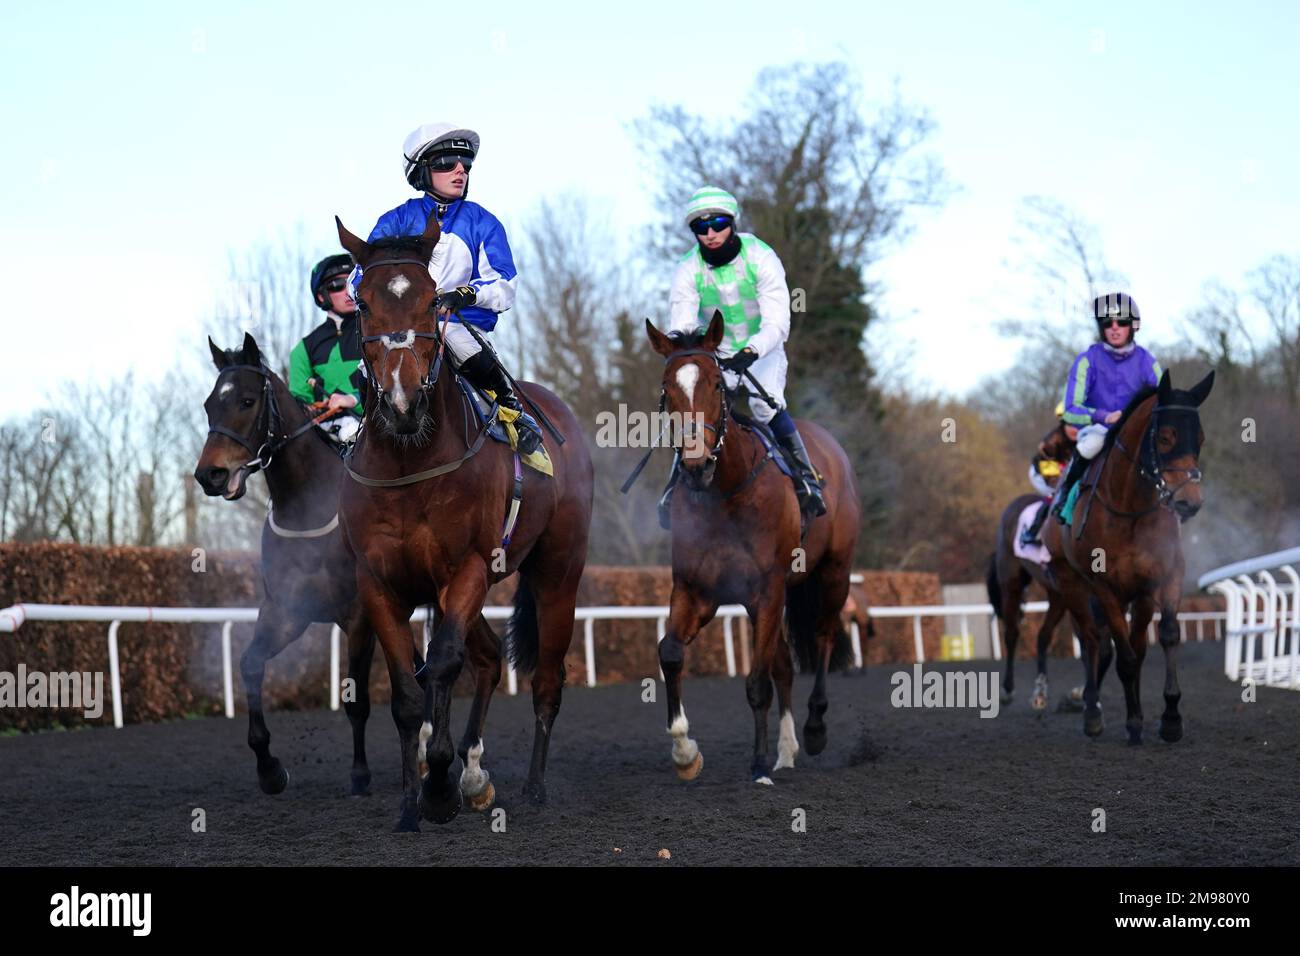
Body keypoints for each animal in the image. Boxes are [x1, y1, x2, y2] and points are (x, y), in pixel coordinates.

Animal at [191, 332, 379, 796]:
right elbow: (250, 664)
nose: (210, 475)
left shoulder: (359, 615)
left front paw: (360, 774)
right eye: (209, 404)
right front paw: (269, 768)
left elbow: (357, 697)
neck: (307, 510)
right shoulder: (287, 611)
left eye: (246, 401)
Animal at [338, 210, 595, 832]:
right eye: (363, 303)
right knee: (485, 657)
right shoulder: (378, 583)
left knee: (545, 678)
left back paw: (532, 785)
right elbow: (409, 693)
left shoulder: (467, 569)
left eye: (433, 300)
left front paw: (438, 790)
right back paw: (476, 777)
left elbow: (443, 665)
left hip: (558, 573)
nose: (402, 401)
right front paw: (413, 804)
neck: (410, 460)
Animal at [642, 314, 863, 785]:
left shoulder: (768, 589)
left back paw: (813, 730)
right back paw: (786, 749)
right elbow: (670, 652)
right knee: (782, 662)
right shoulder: (696, 590)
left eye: (716, 384)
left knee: (822, 638)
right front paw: (685, 751)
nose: (696, 464)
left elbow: (757, 681)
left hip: (833, 572)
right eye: (668, 388)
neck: (726, 492)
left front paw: (759, 764)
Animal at [1040, 369, 1211, 743]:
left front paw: (1170, 718)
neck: (1129, 509)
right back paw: (1091, 712)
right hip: (1071, 583)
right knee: (1093, 642)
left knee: (1125, 644)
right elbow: (1125, 656)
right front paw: (1133, 722)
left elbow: (1165, 637)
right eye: (1165, 437)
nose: (1189, 502)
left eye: (1201, 438)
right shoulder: (1104, 588)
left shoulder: (1161, 578)